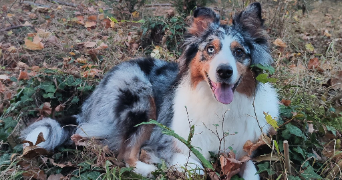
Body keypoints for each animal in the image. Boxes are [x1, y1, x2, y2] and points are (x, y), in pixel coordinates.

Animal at [21, 2, 278, 179]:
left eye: (239, 51)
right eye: (210, 49)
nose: (224, 71)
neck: (220, 107)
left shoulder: (244, 149)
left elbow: (251, 171)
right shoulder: (177, 144)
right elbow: (197, 169)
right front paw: (159, 160)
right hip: (142, 101)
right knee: (124, 155)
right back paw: (150, 168)